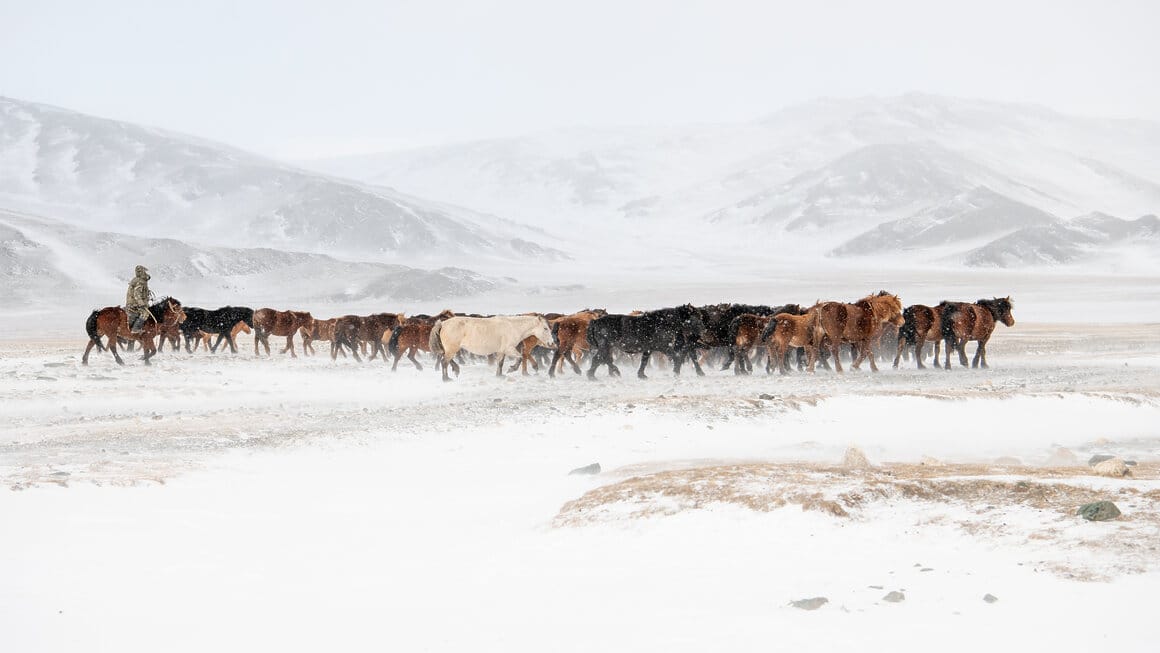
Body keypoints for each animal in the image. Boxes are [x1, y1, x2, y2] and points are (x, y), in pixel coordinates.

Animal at [429, 315, 557, 381]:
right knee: (444, 362)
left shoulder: (501, 351)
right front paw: (511, 369)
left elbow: (500, 363)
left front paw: (499, 375)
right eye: (545, 328)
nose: (552, 343)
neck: (513, 327)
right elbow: (520, 358)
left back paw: (456, 370)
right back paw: (446, 378)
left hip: (451, 349)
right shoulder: (508, 349)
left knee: (446, 359)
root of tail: (443, 324)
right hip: (452, 349)